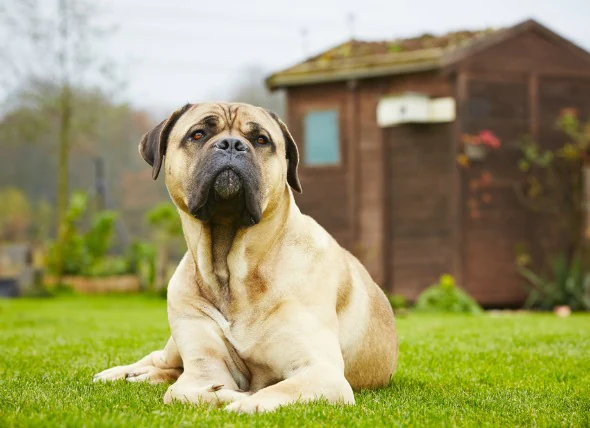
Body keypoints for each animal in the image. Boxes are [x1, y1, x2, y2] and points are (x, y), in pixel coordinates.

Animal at [93, 102, 398, 412]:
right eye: (198, 134)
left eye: (261, 139)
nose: (231, 144)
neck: (232, 272)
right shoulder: (203, 367)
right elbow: (182, 392)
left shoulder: (322, 372)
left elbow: (269, 394)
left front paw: (240, 400)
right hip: (175, 345)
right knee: (159, 360)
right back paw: (117, 374)